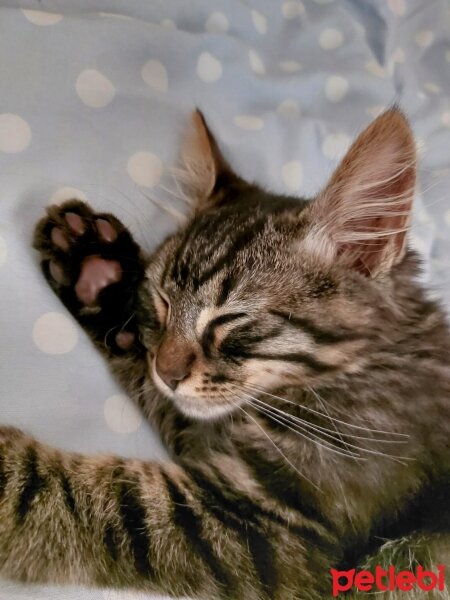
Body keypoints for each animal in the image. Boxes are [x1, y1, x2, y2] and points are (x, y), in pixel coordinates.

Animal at [0, 108, 448, 600]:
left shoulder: (273, 526)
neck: (369, 362)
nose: (166, 372)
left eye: (229, 319)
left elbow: (97, 499)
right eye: (161, 301)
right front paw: (96, 268)